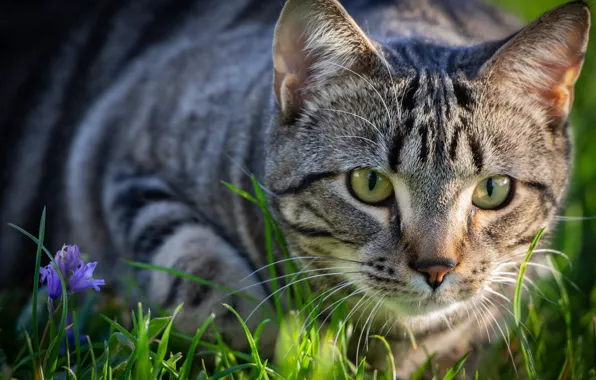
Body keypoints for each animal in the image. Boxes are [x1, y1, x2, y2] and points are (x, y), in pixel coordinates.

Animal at [0, 0, 588, 376]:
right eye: (369, 184)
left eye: (493, 190)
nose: (437, 268)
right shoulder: (116, 148)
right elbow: (200, 277)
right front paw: (264, 346)